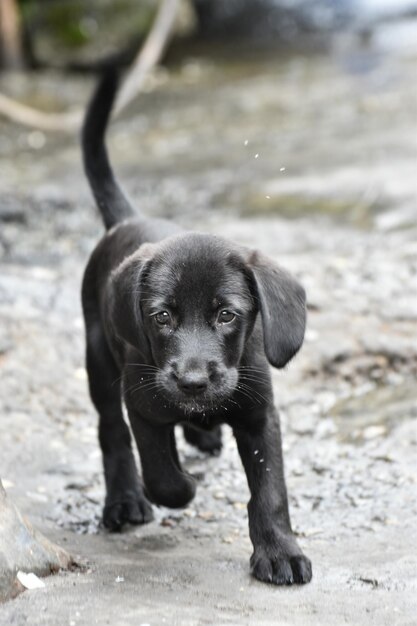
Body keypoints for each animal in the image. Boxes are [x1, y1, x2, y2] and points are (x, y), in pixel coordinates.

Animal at [80, 70, 312, 584]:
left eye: (226, 314)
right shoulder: (143, 405)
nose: (191, 382)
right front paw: (181, 485)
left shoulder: (260, 416)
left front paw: (279, 551)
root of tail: (127, 219)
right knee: (111, 433)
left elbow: (271, 491)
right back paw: (124, 500)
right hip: (98, 358)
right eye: (161, 316)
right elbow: (162, 476)